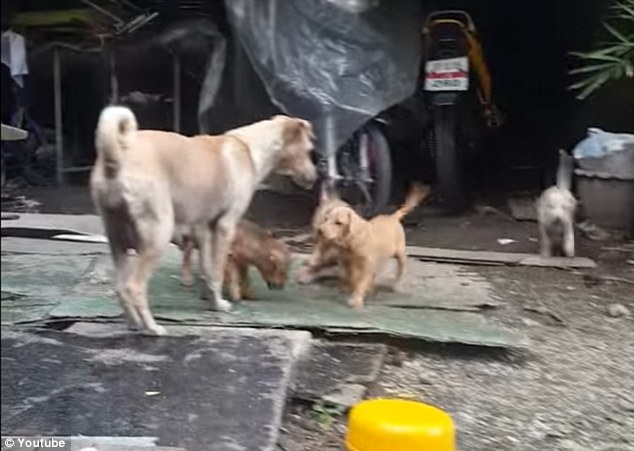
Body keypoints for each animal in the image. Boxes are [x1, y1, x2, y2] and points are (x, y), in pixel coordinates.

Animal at [89, 107, 316, 336]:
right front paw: (220, 305)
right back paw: (151, 327)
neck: (247, 148)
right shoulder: (226, 226)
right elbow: (217, 271)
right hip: (158, 235)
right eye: (309, 150)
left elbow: (208, 270)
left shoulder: (205, 228)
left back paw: (134, 323)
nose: (315, 178)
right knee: (134, 286)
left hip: (117, 239)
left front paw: (212, 302)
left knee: (121, 286)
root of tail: (116, 157)